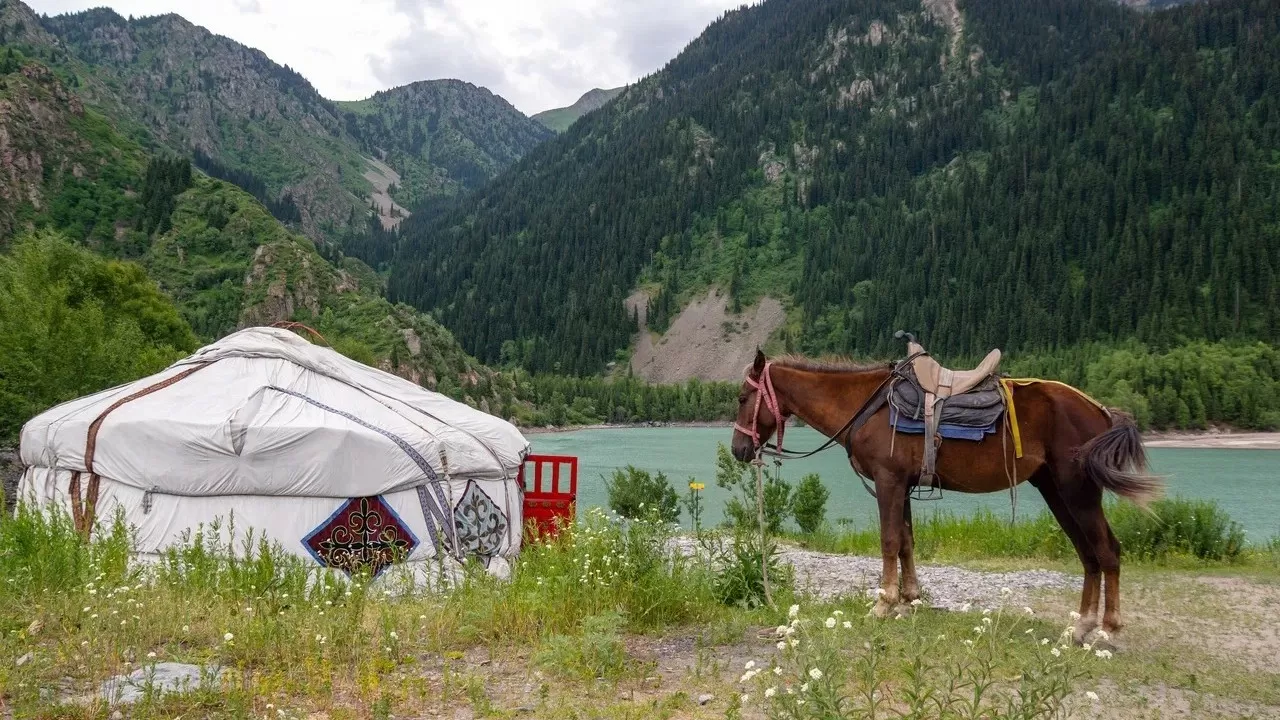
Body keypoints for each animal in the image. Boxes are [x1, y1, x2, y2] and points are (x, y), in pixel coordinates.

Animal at [732, 348, 1162, 638]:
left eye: (741, 398)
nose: (739, 450)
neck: (867, 407)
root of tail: (1101, 410)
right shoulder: (903, 485)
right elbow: (906, 542)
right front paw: (909, 601)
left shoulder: (888, 482)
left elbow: (889, 541)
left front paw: (883, 604)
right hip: (1056, 491)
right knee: (1087, 554)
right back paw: (1082, 626)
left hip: (1078, 492)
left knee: (1107, 551)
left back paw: (1107, 628)